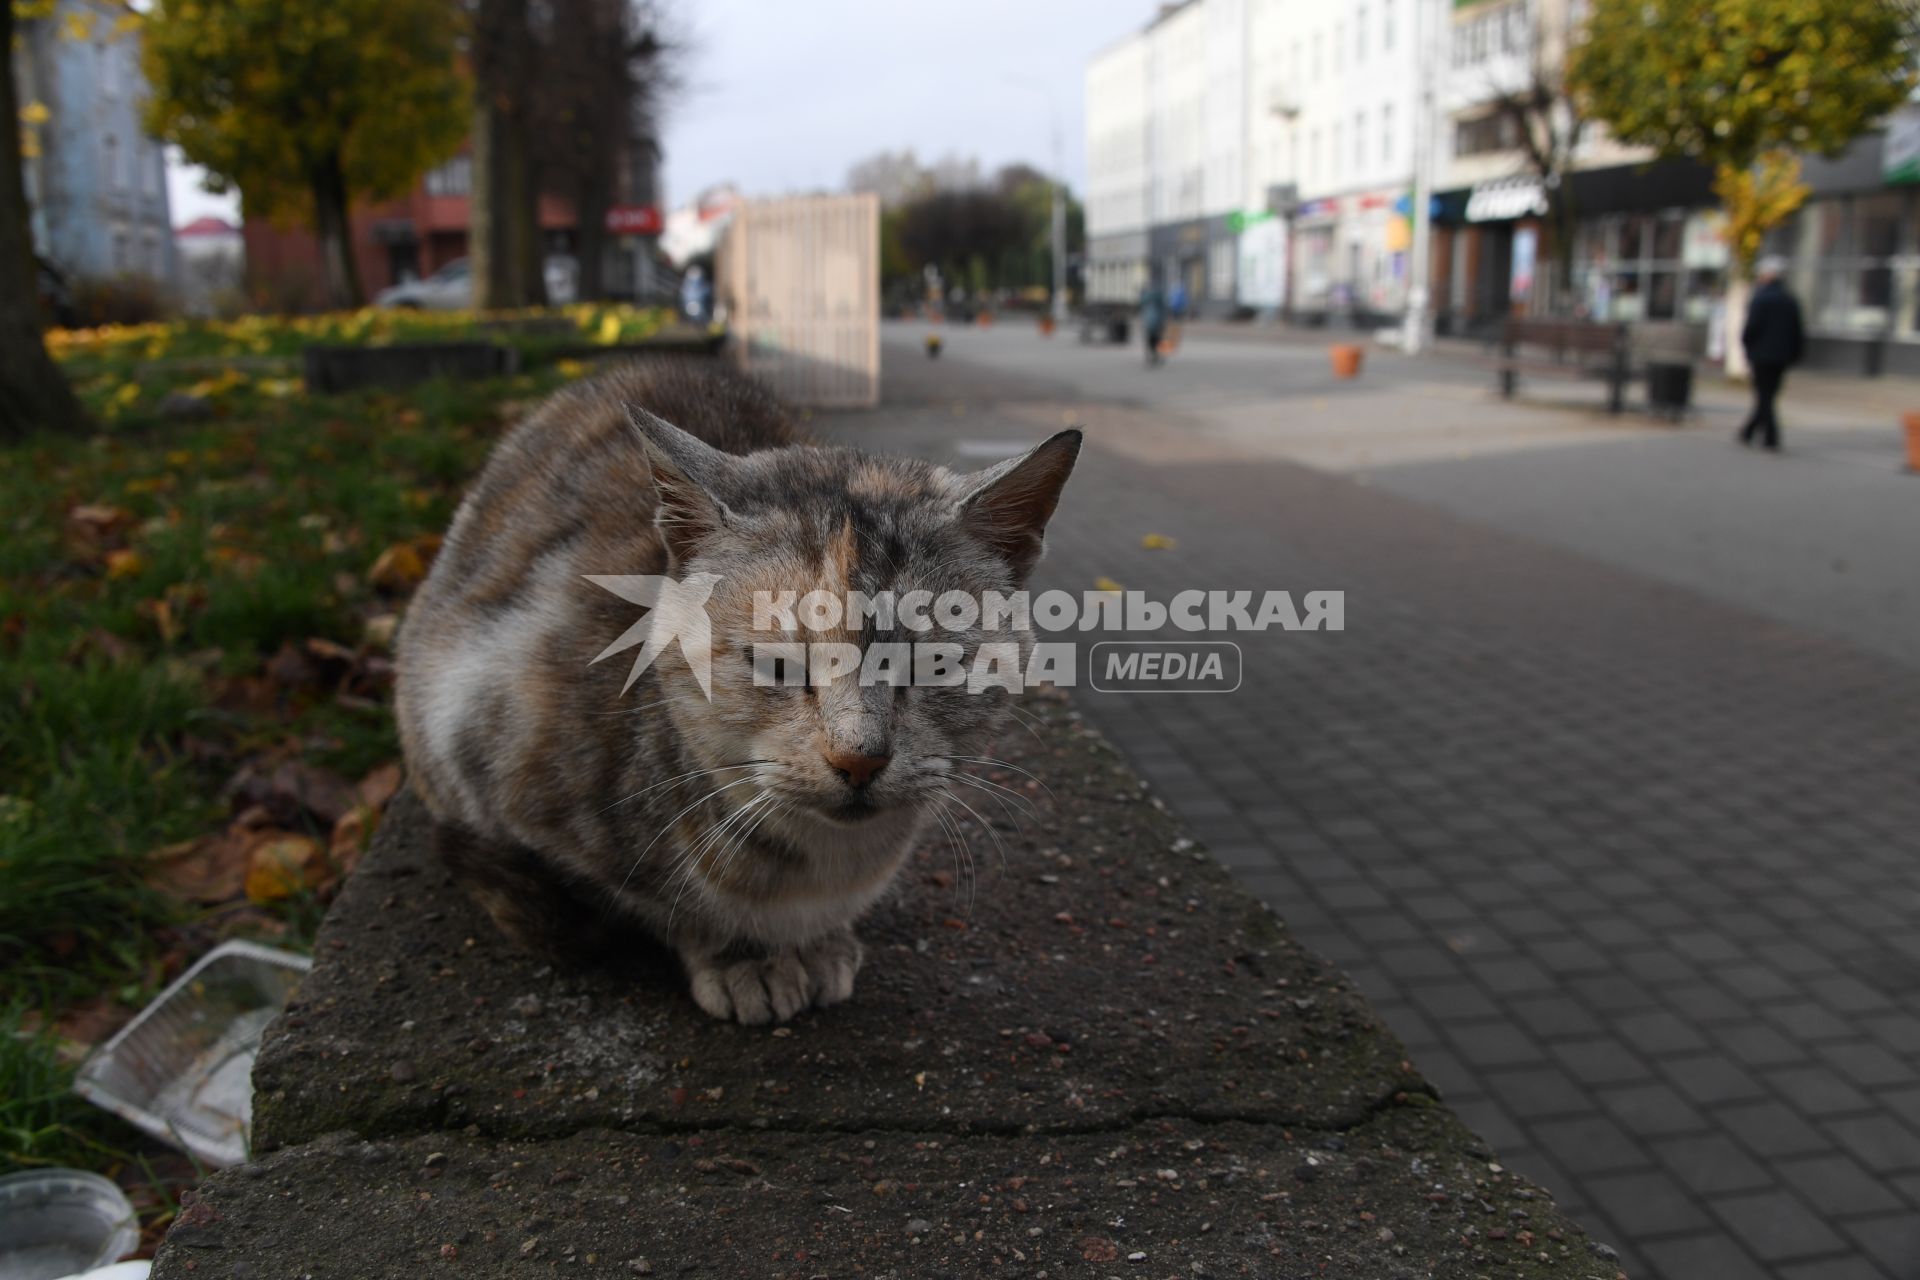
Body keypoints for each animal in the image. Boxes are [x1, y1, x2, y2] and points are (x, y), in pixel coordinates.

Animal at [393, 355, 1082, 1028]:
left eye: (935, 664)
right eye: (776, 666)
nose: (859, 758)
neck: (826, 864)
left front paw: (816, 943)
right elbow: (665, 905)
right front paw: (744, 957)